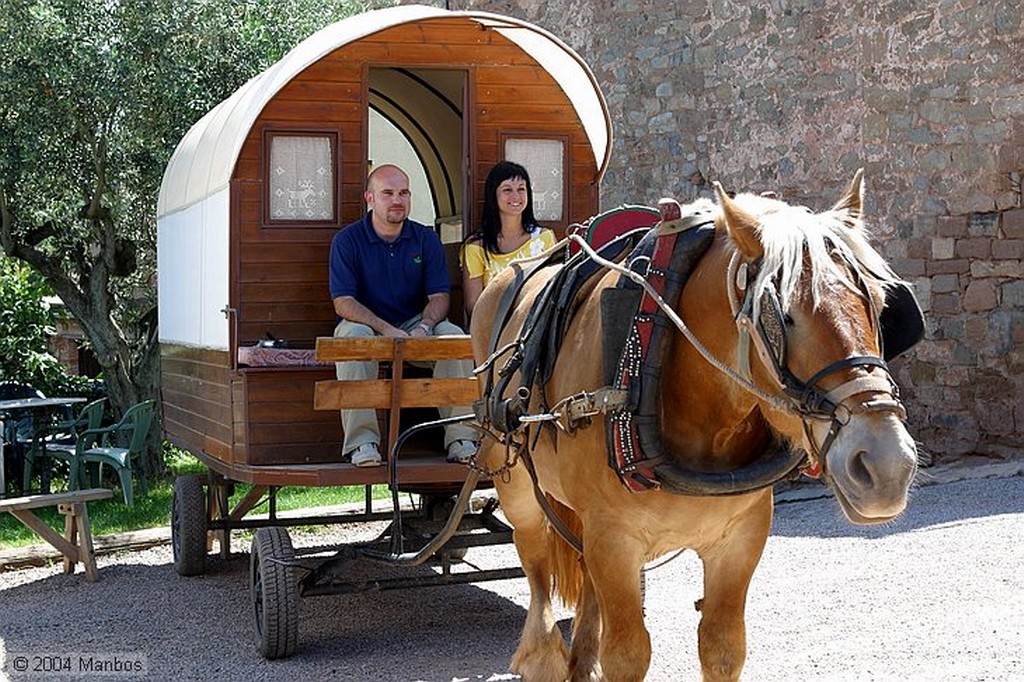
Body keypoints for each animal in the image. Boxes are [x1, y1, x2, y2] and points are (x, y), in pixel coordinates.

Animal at [471, 171, 921, 679]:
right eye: (781, 316)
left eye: (879, 304)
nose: (887, 465)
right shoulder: (614, 540)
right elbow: (627, 653)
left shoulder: (740, 539)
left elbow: (722, 647)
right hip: (517, 488)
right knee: (538, 579)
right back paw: (542, 653)